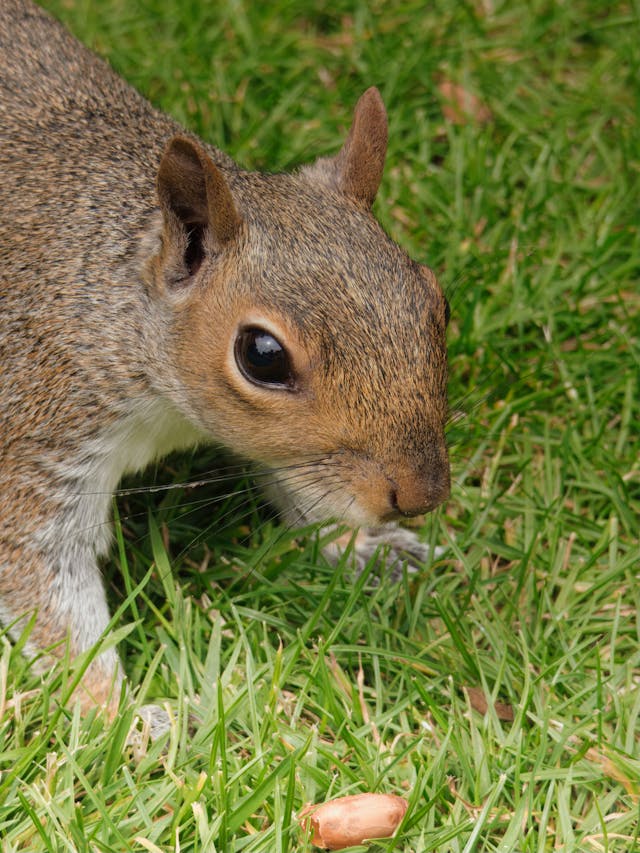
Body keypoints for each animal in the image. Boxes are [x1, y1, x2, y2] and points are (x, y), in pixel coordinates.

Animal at [0, 0, 450, 720]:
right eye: (261, 356)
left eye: (436, 300)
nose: (420, 495)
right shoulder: (36, 432)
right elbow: (44, 583)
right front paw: (123, 716)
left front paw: (365, 549)